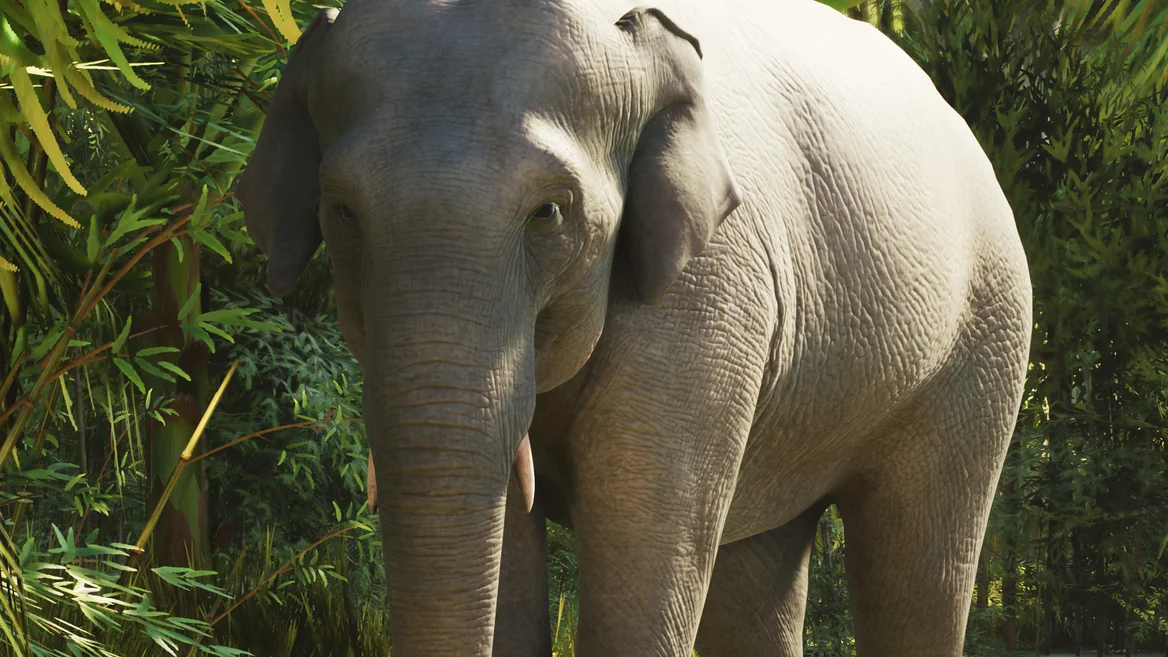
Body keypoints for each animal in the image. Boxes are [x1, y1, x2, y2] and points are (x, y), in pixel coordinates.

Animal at [236, 0, 1033, 655]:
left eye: (548, 212)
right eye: (342, 211)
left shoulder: (707, 297)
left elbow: (641, 552)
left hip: (981, 344)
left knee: (921, 571)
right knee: (755, 578)